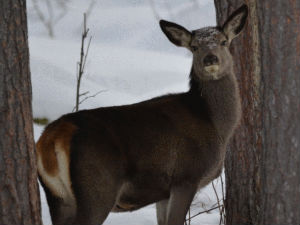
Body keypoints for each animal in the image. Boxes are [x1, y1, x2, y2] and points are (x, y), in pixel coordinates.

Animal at [37, 4, 248, 225]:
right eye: (195, 47)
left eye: (223, 41)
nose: (210, 59)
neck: (214, 123)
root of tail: (52, 137)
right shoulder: (186, 176)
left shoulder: (163, 192)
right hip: (96, 187)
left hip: (57, 196)